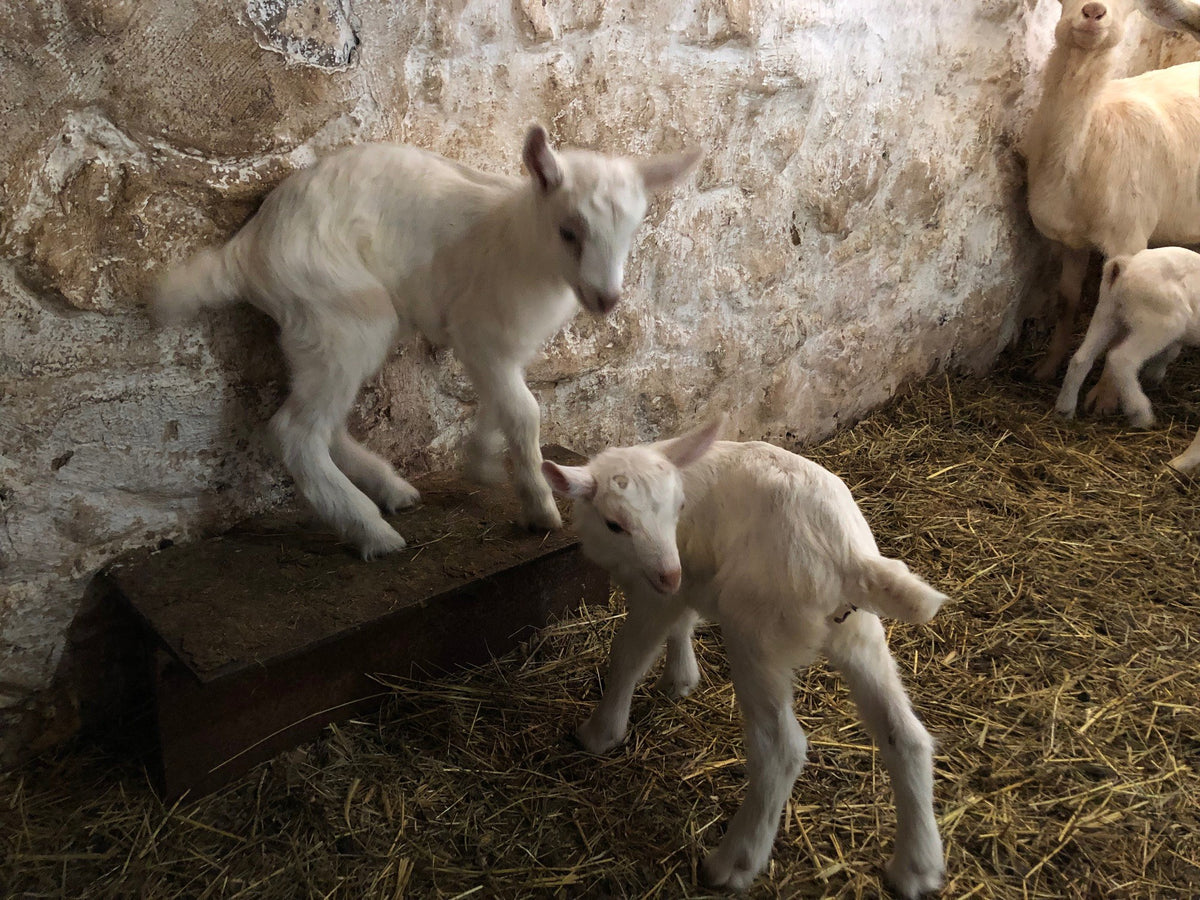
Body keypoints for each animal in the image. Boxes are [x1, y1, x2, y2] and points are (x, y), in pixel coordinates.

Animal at [153, 126, 700, 558]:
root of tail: (246, 250)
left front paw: (480, 463)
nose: (607, 300)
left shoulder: (499, 344)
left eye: (631, 232)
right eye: (569, 231)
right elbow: (524, 411)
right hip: (342, 313)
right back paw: (371, 531)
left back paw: (390, 489)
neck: (520, 245)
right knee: (295, 430)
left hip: (326, 330)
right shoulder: (480, 331)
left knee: (323, 418)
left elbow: (498, 404)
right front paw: (540, 508)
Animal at [543, 421, 947, 896]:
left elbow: (628, 655)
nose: (668, 572)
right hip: (859, 634)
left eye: (678, 508)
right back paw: (917, 867)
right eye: (615, 524)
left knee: (781, 750)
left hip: (757, 636)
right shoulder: (690, 578)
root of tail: (848, 557)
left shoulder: (655, 593)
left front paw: (600, 732)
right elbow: (683, 623)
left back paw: (733, 862)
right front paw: (680, 680)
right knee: (906, 737)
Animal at [1024, 0, 1200, 384]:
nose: (1093, 11)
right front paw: (1046, 367)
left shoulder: (1129, 242)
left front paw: (1102, 394)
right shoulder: (1069, 241)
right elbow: (1067, 301)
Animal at [1055, 247, 1200, 470]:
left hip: (1108, 311)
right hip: (1161, 322)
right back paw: (1140, 412)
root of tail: (1125, 265)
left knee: (1081, 358)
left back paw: (1065, 409)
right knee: (1121, 358)